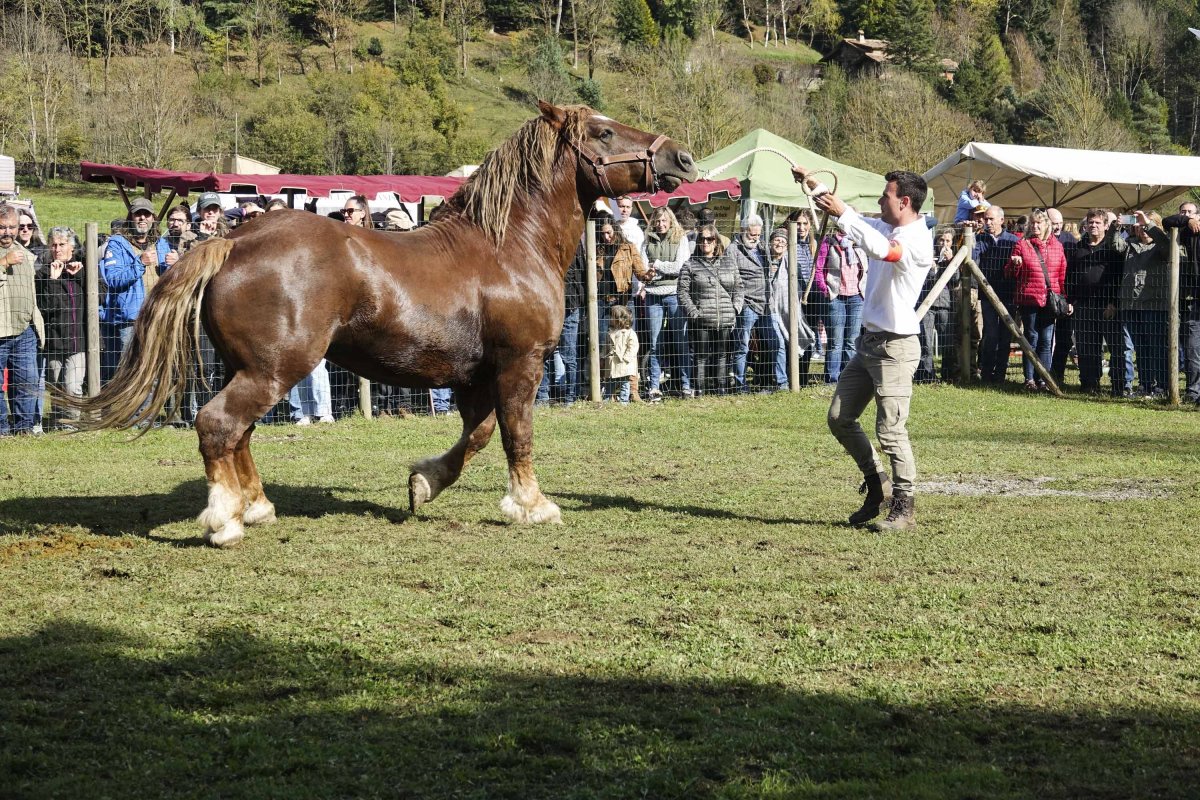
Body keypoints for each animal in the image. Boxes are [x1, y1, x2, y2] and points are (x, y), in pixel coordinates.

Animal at [75, 103, 696, 546]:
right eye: (604, 133)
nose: (681, 159)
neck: (509, 247)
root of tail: (233, 241)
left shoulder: (474, 376)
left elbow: (476, 436)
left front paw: (424, 483)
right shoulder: (520, 364)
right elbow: (515, 435)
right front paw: (532, 505)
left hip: (249, 367)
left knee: (240, 433)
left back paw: (257, 507)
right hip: (276, 368)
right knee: (218, 424)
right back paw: (224, 521)